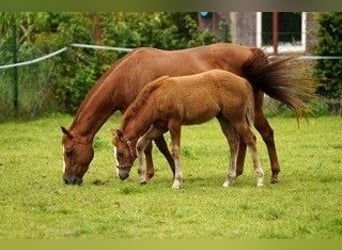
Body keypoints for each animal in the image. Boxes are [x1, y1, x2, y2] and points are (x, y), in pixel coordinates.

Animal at [113, 69, 264, 188]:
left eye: (120, 153)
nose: (121, 175)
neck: (157, 97)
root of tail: (243, 81)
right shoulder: (160, 127)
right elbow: (141, 143)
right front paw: (142, 178)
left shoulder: (174, 123)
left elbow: (175, 150)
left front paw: (177, 182)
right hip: (224, 119)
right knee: (233, 142)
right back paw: (228, 180)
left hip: (237, 118)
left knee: (251, 139)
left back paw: (259, 179)